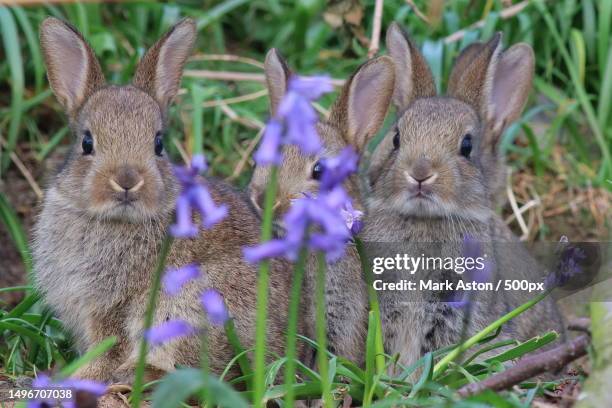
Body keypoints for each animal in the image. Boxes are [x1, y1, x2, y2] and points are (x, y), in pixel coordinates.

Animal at [31, 17, 298, 384]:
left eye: (158, 144)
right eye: (87, 142)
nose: (128, 181)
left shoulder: (112, 307)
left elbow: (108, 346)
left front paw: (82, 376)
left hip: (188, 301)